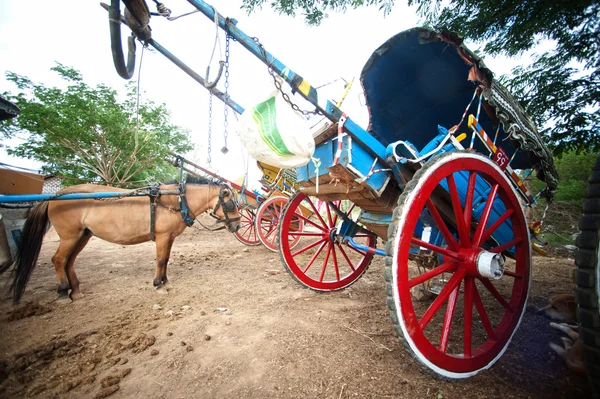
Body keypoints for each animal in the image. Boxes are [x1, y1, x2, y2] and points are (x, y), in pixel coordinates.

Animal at [8, 177, 240, 304]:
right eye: (231, 204)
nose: (237, 226)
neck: (175, 198)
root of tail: (54, 197)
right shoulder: (163, 236)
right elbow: (160, 260)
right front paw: (158, 284)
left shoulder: (169, 237)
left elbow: (165, 260)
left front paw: (164, 281)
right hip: (69, 236)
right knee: (58, 260)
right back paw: (64, 292)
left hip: (82, 236)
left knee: (69, 261)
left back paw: (76, 291)